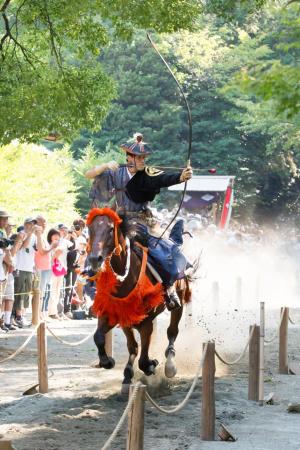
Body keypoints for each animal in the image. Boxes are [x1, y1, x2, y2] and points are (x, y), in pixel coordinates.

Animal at [86, 209, 192, 392]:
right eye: (90, 229)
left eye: (110, 229)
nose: (94, 259)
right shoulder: (118, 317)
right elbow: (104, 339)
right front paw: (112, 364)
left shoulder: (146, 323)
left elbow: (143, 359)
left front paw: (151, 364)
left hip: (179, 302)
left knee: (172, 331)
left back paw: (170, 365)